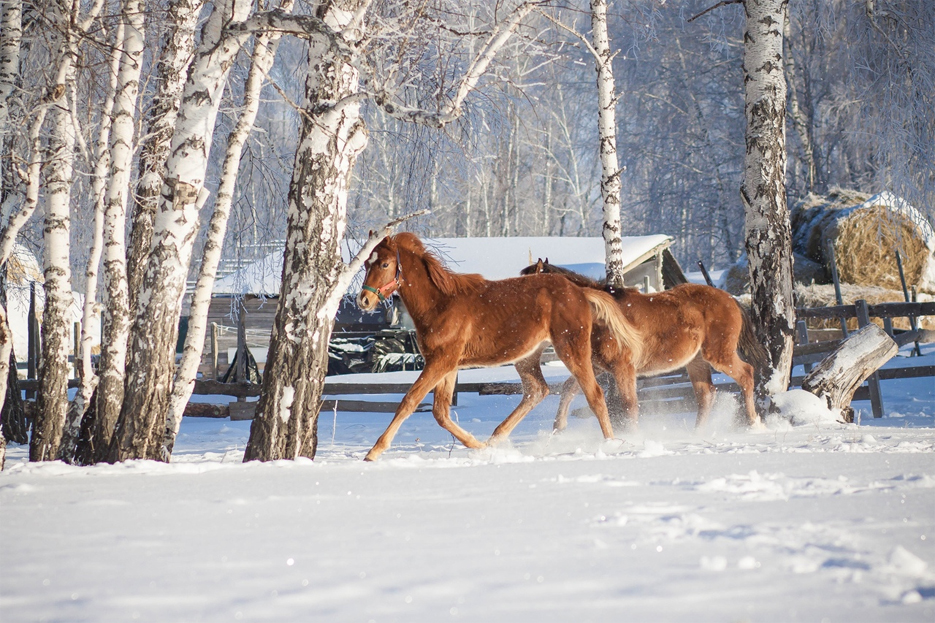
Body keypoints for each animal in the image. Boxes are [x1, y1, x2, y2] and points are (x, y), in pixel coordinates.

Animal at [358, 232, 644, 460]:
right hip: (527, 357)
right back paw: (494, 439)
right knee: (536, 391)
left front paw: (373, 452)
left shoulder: (441, 361)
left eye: (384, 263)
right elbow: (441, 412)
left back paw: (612, 444)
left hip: (571, 350)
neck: (440, 304)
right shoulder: (447, 365)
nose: (364, 300)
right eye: (366, 263)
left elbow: (410, 401)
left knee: (594, 394)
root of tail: (580, 293)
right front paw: (478, 446)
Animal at [520, 260, 768, 432]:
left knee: (746, 375)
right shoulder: (598, 366)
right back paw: (697, 432)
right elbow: (568, 388)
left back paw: (753, 423)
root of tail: (731, 299)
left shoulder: (623, 368)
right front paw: (558, 427)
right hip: (696, 362)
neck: (600, 314)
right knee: (706, 394)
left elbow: (629, 405)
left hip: (718, 355)